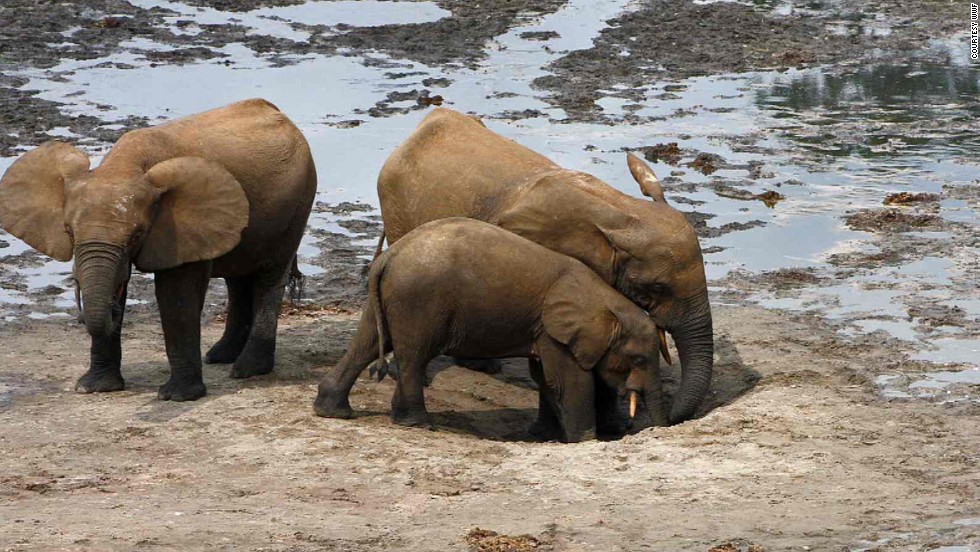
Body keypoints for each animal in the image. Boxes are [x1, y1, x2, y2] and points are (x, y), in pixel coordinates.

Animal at [0, 98, 318, 402]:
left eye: (136, 235)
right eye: (69, 231)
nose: (109, 310)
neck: (124, 167)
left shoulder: (183, 226)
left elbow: (176, 294)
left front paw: (177, 397)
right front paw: (93, 388)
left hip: (298, 202)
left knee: (269, 276)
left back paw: (247, 369)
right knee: (237, 278)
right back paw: (220, 356)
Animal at [314, 218, 668, 442]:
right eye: (638, 360)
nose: (643, 429)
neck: (607, 301)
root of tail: (390, 255)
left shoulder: (543, 329)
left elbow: (545, 378)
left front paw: (546, 437)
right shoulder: (555, 331)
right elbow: (568, 380)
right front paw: (585, 441)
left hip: (392, 297)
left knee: (367, 343)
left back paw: (333, 411)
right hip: (419, 302)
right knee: (413, 355)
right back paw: (419, 423)